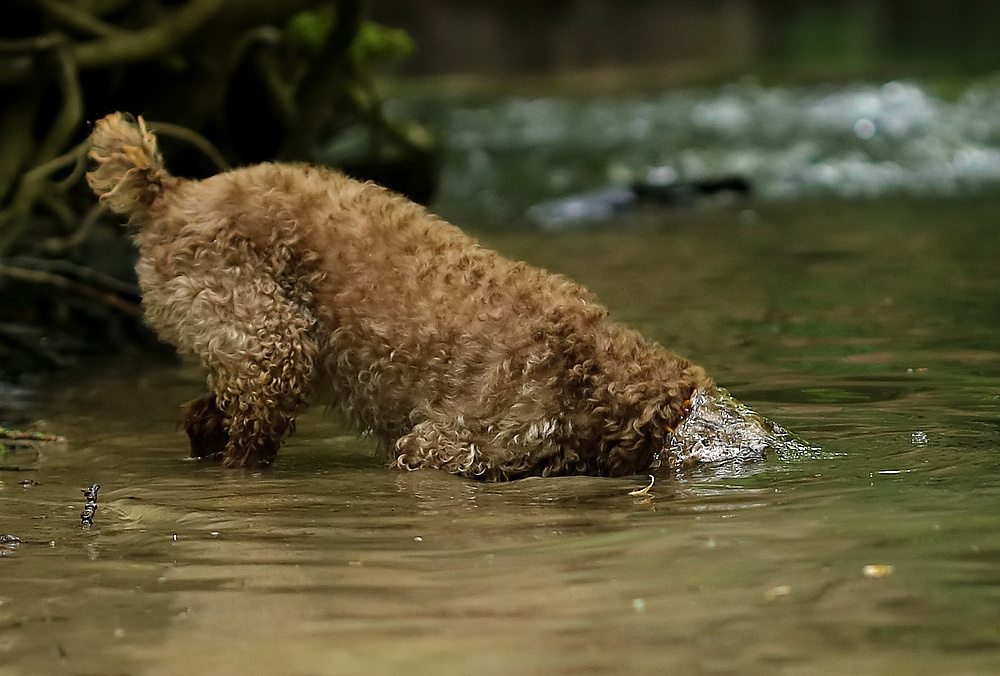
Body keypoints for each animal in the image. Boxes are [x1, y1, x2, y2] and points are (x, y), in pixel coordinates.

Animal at [86, 112, 788, 480]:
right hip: (269, 343)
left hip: (254, 349)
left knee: (203, 416)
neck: (589, 374)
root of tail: (174, 192)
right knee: (238, 437)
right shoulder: (443, 446)